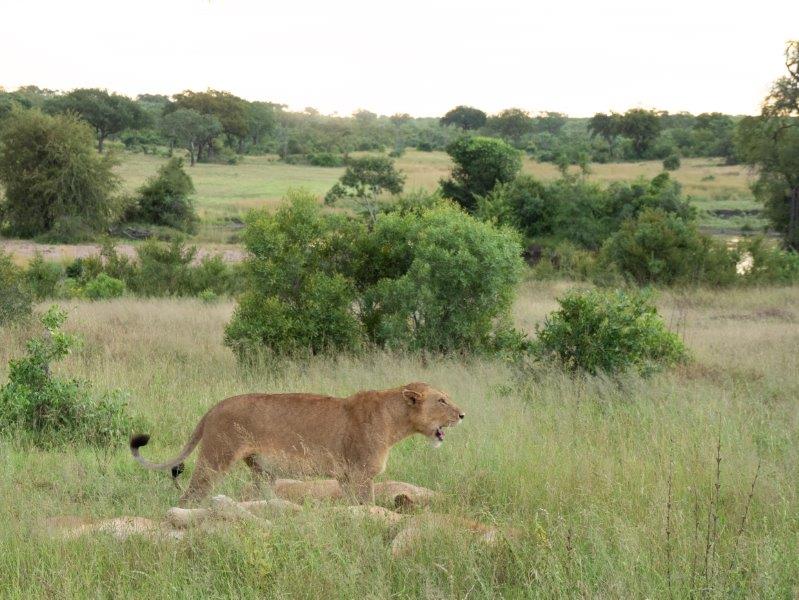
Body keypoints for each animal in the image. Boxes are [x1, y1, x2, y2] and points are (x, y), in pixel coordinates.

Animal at [128, 382, 466, 504]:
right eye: (442, 400)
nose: (463, 414)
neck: (395, 420)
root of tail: (214, 407)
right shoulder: (360, 475)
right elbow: (368, 507)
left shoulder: (346, 478)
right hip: (216, 458)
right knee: (190, 496)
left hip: (263, 471)